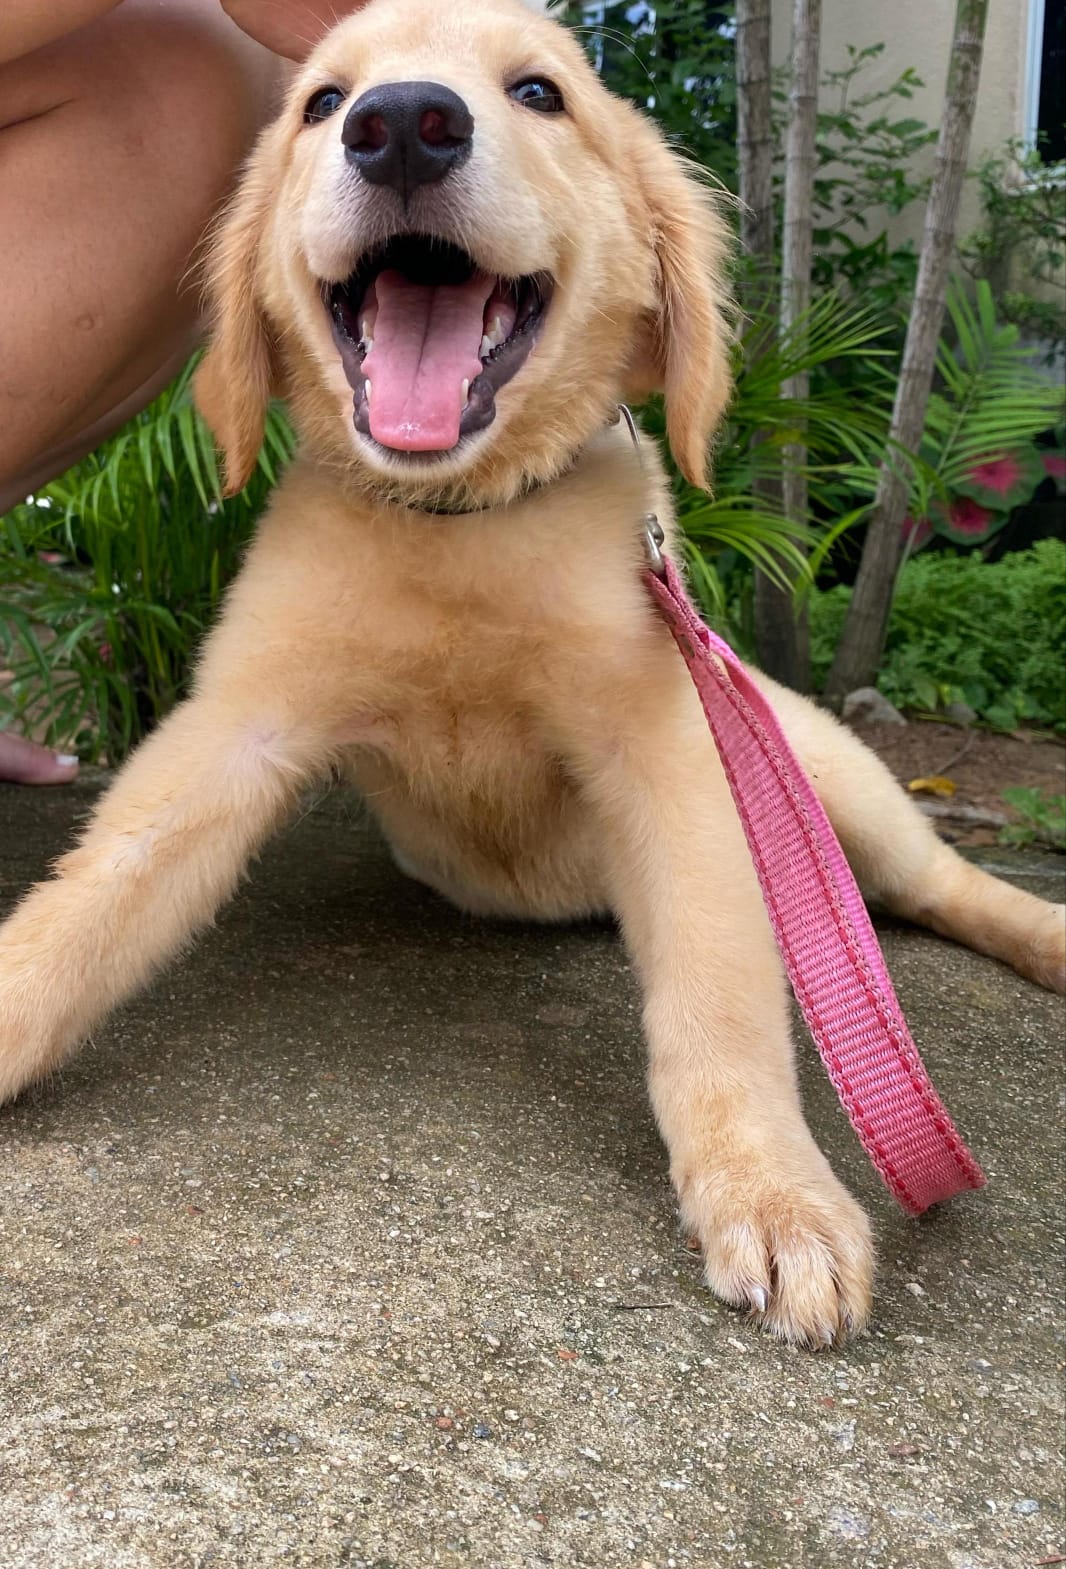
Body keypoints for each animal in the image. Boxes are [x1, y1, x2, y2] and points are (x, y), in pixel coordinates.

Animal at [0, 0, 1061, 1349]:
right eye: (317, 102)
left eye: (541, 93)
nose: (402, 123)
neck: (464, 523)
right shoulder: (231, 732)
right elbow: (87, 909)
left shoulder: (674, 752)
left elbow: (720, 998)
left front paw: (771, 1190)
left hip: (813, 769)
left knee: (934, 884)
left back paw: (1046, 937)